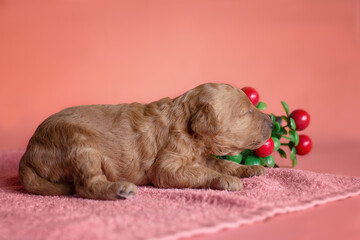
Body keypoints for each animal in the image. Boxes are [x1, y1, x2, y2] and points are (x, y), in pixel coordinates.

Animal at [19, 83, 272, 200]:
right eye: (248, 112)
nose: (271, 122)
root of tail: (28, 152)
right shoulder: (168, 165)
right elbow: (201, 172)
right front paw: (227, 180)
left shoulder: (200, 155)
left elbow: (222, 163)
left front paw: (249, 169)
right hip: (78, 143)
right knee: (86, 184)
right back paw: (120, 189)